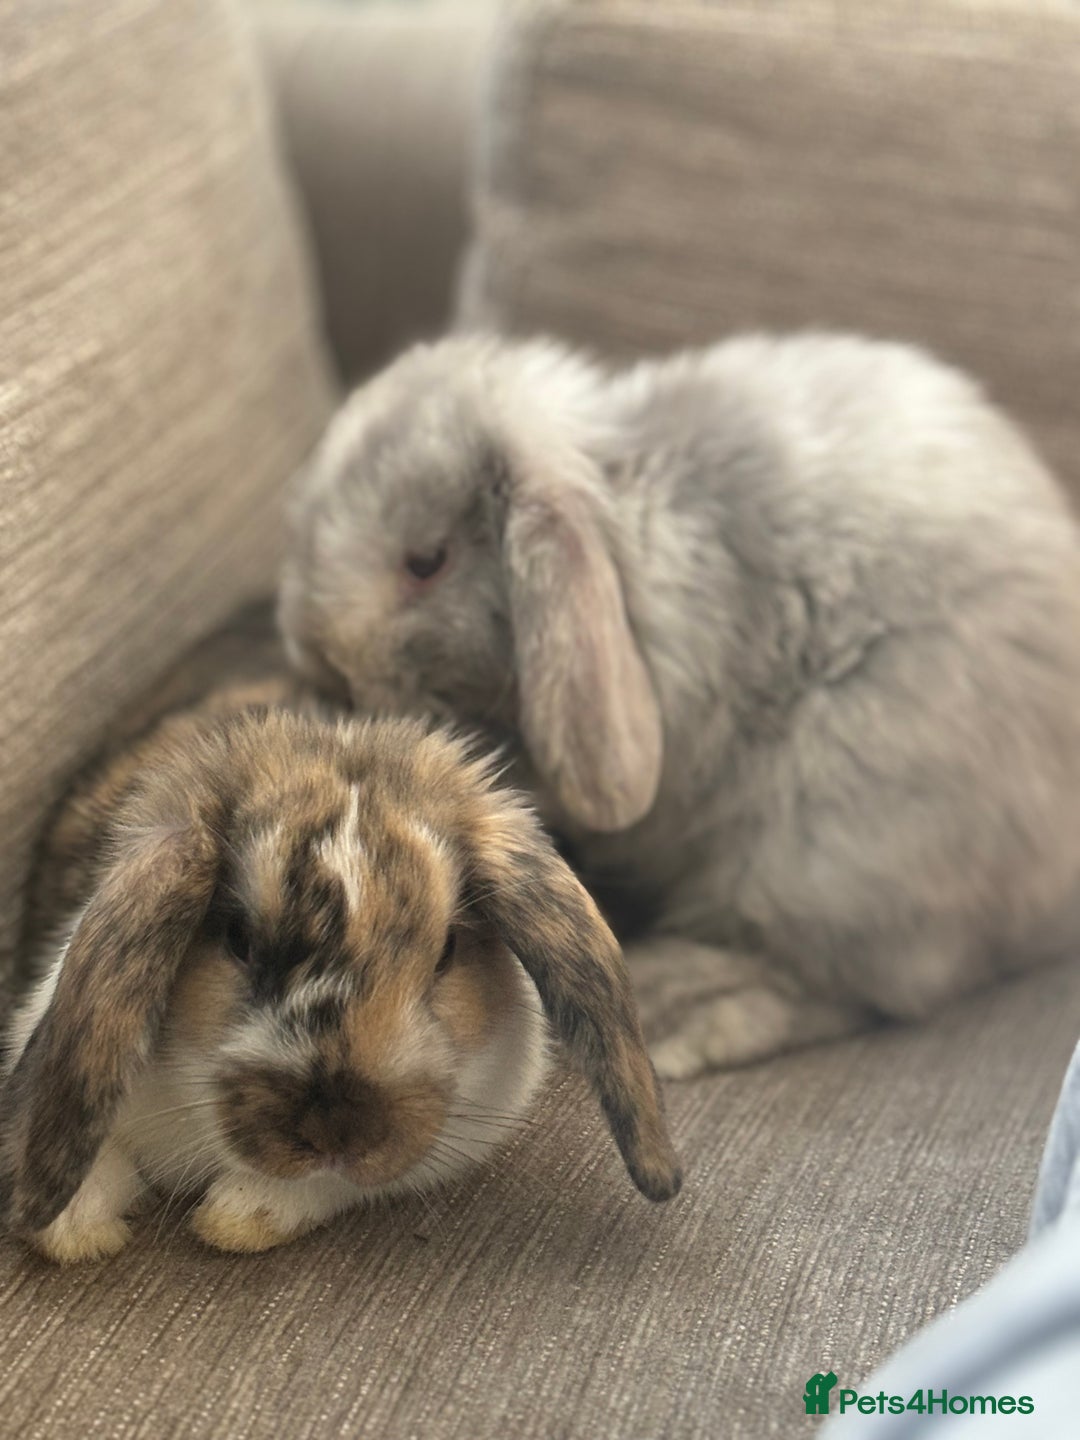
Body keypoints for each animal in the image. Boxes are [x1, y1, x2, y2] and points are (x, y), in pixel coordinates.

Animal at [1, 614, 680, 1264]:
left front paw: (236, 1219)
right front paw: (76, 1231)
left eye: (448, 951)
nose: (338, 1131)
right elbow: (94, 1161)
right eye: (238, 938)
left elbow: (323, 1188)